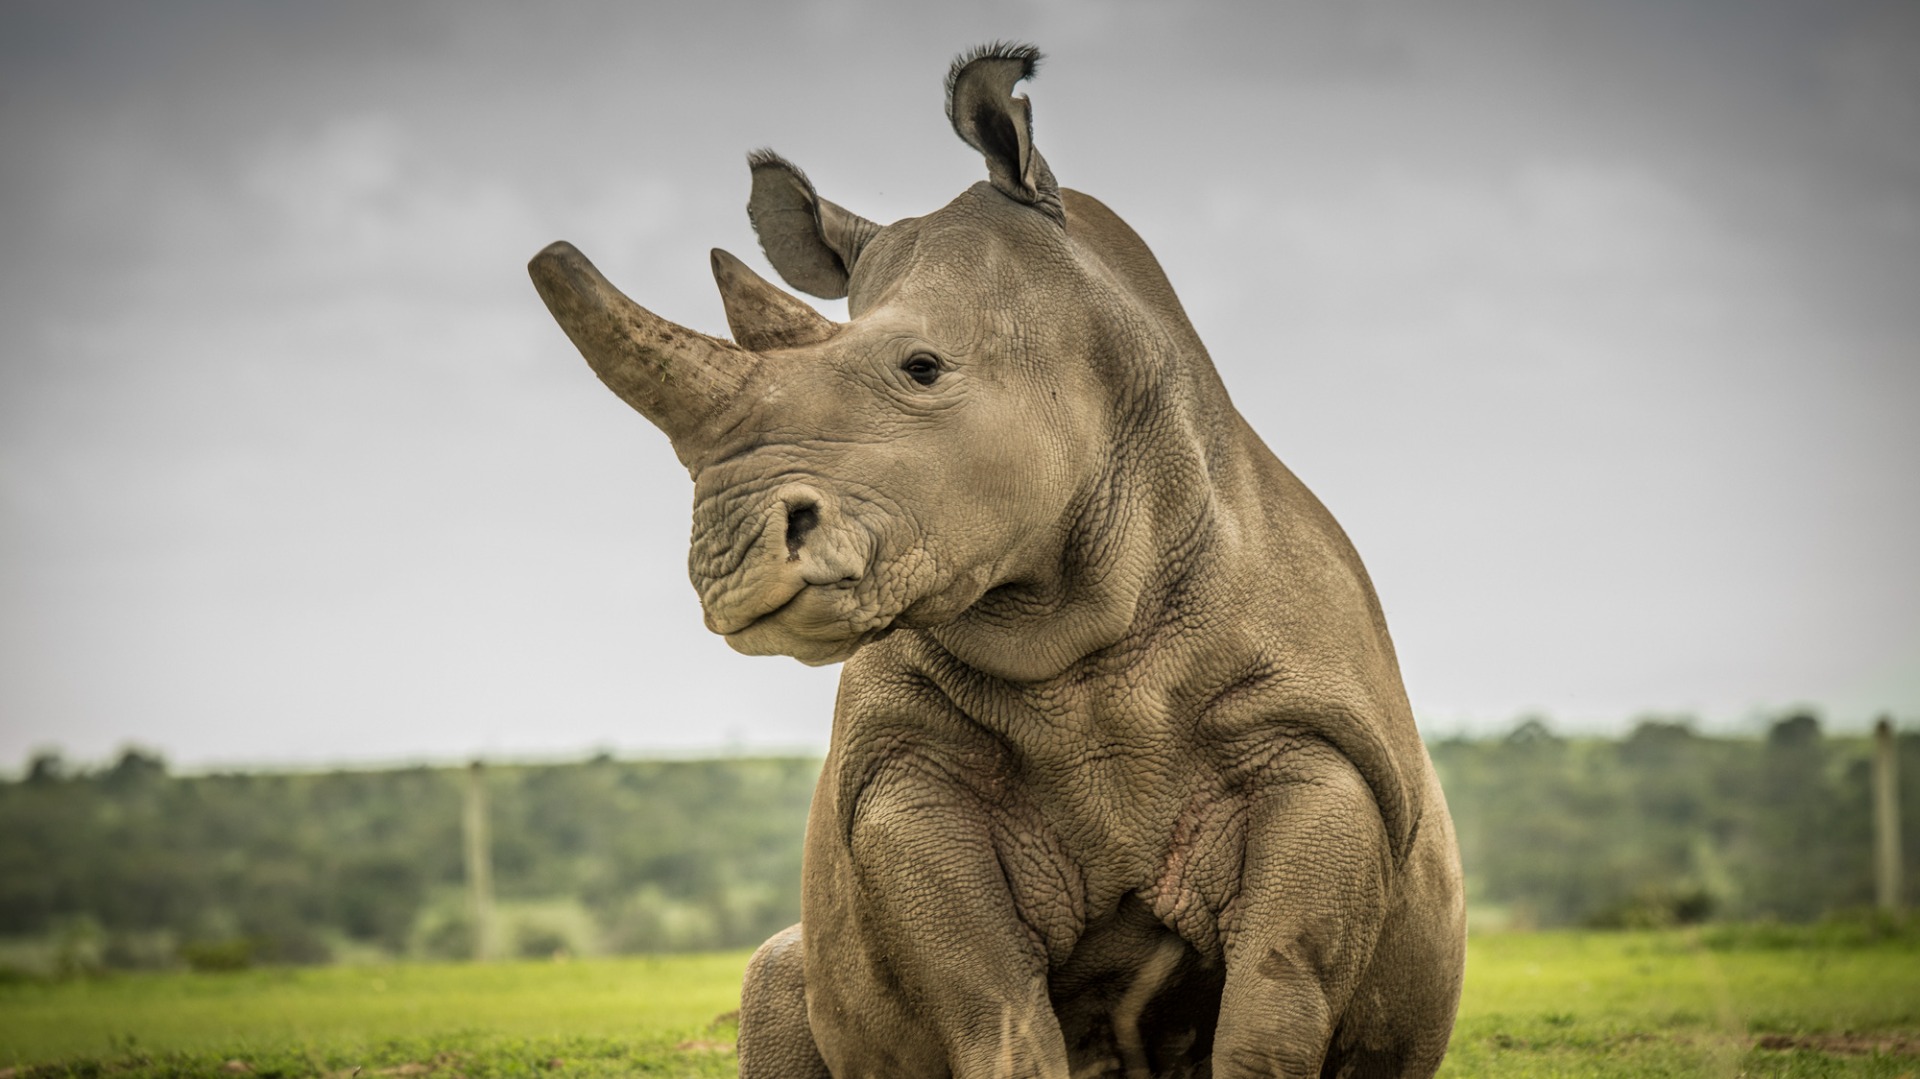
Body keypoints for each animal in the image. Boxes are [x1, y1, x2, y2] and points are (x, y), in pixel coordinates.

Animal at [530, 42, 1464, 1079]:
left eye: (923, 367)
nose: (730, 555)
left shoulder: (1319, 749)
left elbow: (1272, 1005)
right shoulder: (904, 774)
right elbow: (994, 1004)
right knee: (776, 973)